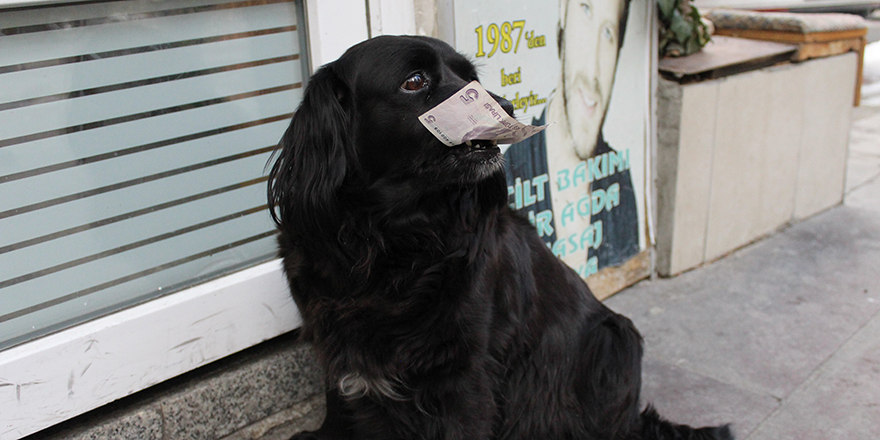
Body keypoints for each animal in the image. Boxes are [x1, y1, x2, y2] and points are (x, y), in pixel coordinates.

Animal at [266, 35, 728, 440]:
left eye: (470, 75)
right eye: (414, 80)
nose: (506, 105)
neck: (391, 242)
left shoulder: (466, 371)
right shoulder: (333, 337)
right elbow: (338, 403)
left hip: (614, 339)